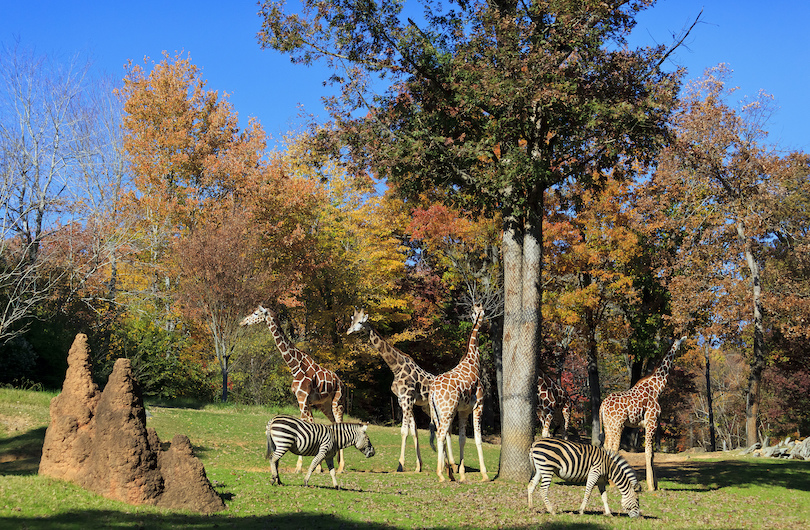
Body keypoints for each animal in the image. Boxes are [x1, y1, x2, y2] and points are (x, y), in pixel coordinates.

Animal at [237, 306, 344, 470]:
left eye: (256, 313)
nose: (242, 322)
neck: (294, 366)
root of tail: (340, 381)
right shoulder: (303, 399)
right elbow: (307, 424)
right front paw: (312, 466)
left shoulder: (302, 398)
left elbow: (305, 424)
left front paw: (303, 466)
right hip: (324, 404)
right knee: (333, 423)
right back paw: (336, 463)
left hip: (336, 401)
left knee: (339, 419)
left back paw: (342, 466)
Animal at [342, 306, 448, 470]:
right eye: (352, 320)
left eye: (360, 322)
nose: (348, 331)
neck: (396, 368)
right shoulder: (403, 401)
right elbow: (414, 431)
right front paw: (418, 466)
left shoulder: (407, 399)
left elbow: (404, 431)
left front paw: (400, 465)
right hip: (427, 407)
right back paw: (448, 464)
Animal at [426, 304, 490, 480]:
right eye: (484, 313)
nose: (487, 323)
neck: (473, 362)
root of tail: (432, 391)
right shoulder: (479, 406)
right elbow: (478, 439)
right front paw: (484, 474)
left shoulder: (463, 410)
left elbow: (462, 439)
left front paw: (461, 472)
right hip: (447, 410)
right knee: (441, 434)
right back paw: (441, 474)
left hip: (439, 412)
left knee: (440, 433)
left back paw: (448, 472)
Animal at [596, 336, 684, 488]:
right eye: (679, 343)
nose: (679, 350)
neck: (657, 389)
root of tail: (602, 406)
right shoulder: (651, 422)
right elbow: (648, 452)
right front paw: (651, 486)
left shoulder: (650, 424)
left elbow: (652, 453)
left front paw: (655, 484)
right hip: (618, 425)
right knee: (614, 449)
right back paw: (613, 483)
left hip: (608, 425)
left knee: (607, 447)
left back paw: (607, 481)